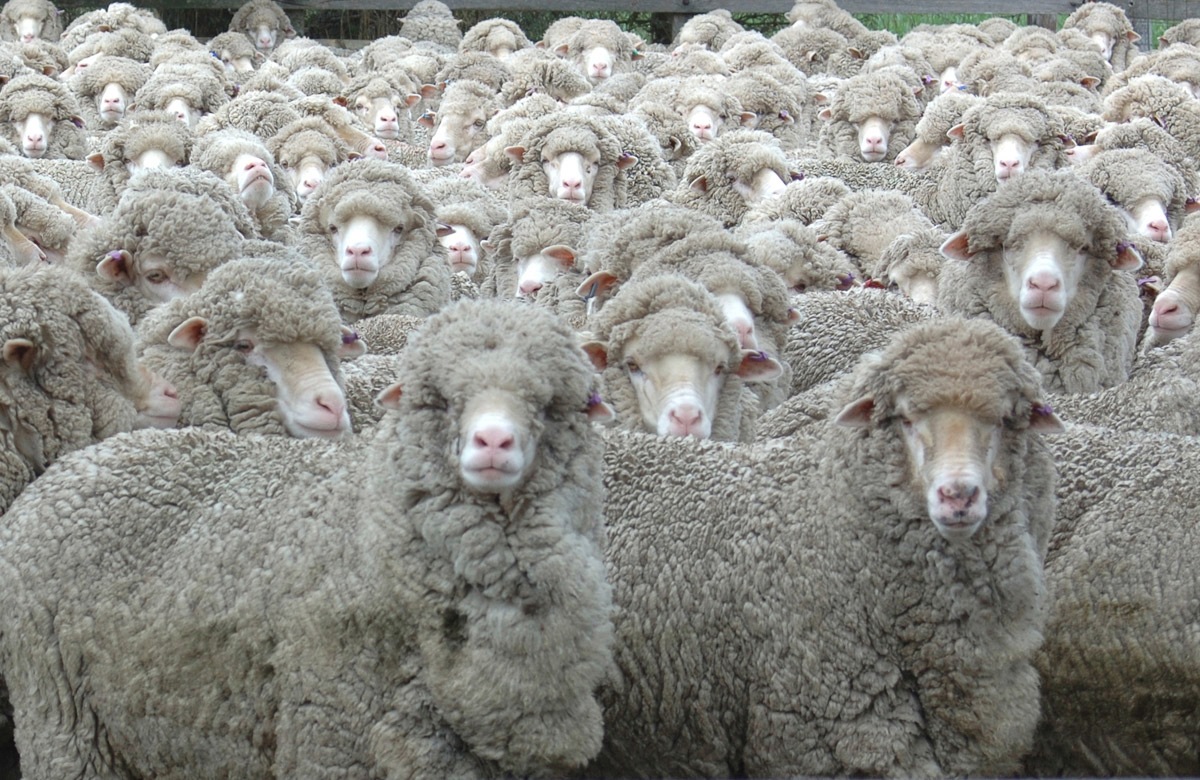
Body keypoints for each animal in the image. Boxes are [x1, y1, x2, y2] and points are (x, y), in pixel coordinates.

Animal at [0, 297, 615, 779]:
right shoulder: (330, 733)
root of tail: (72, 468)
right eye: (437, 399)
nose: (492, 442)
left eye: (559, 404)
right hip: (63, 719)